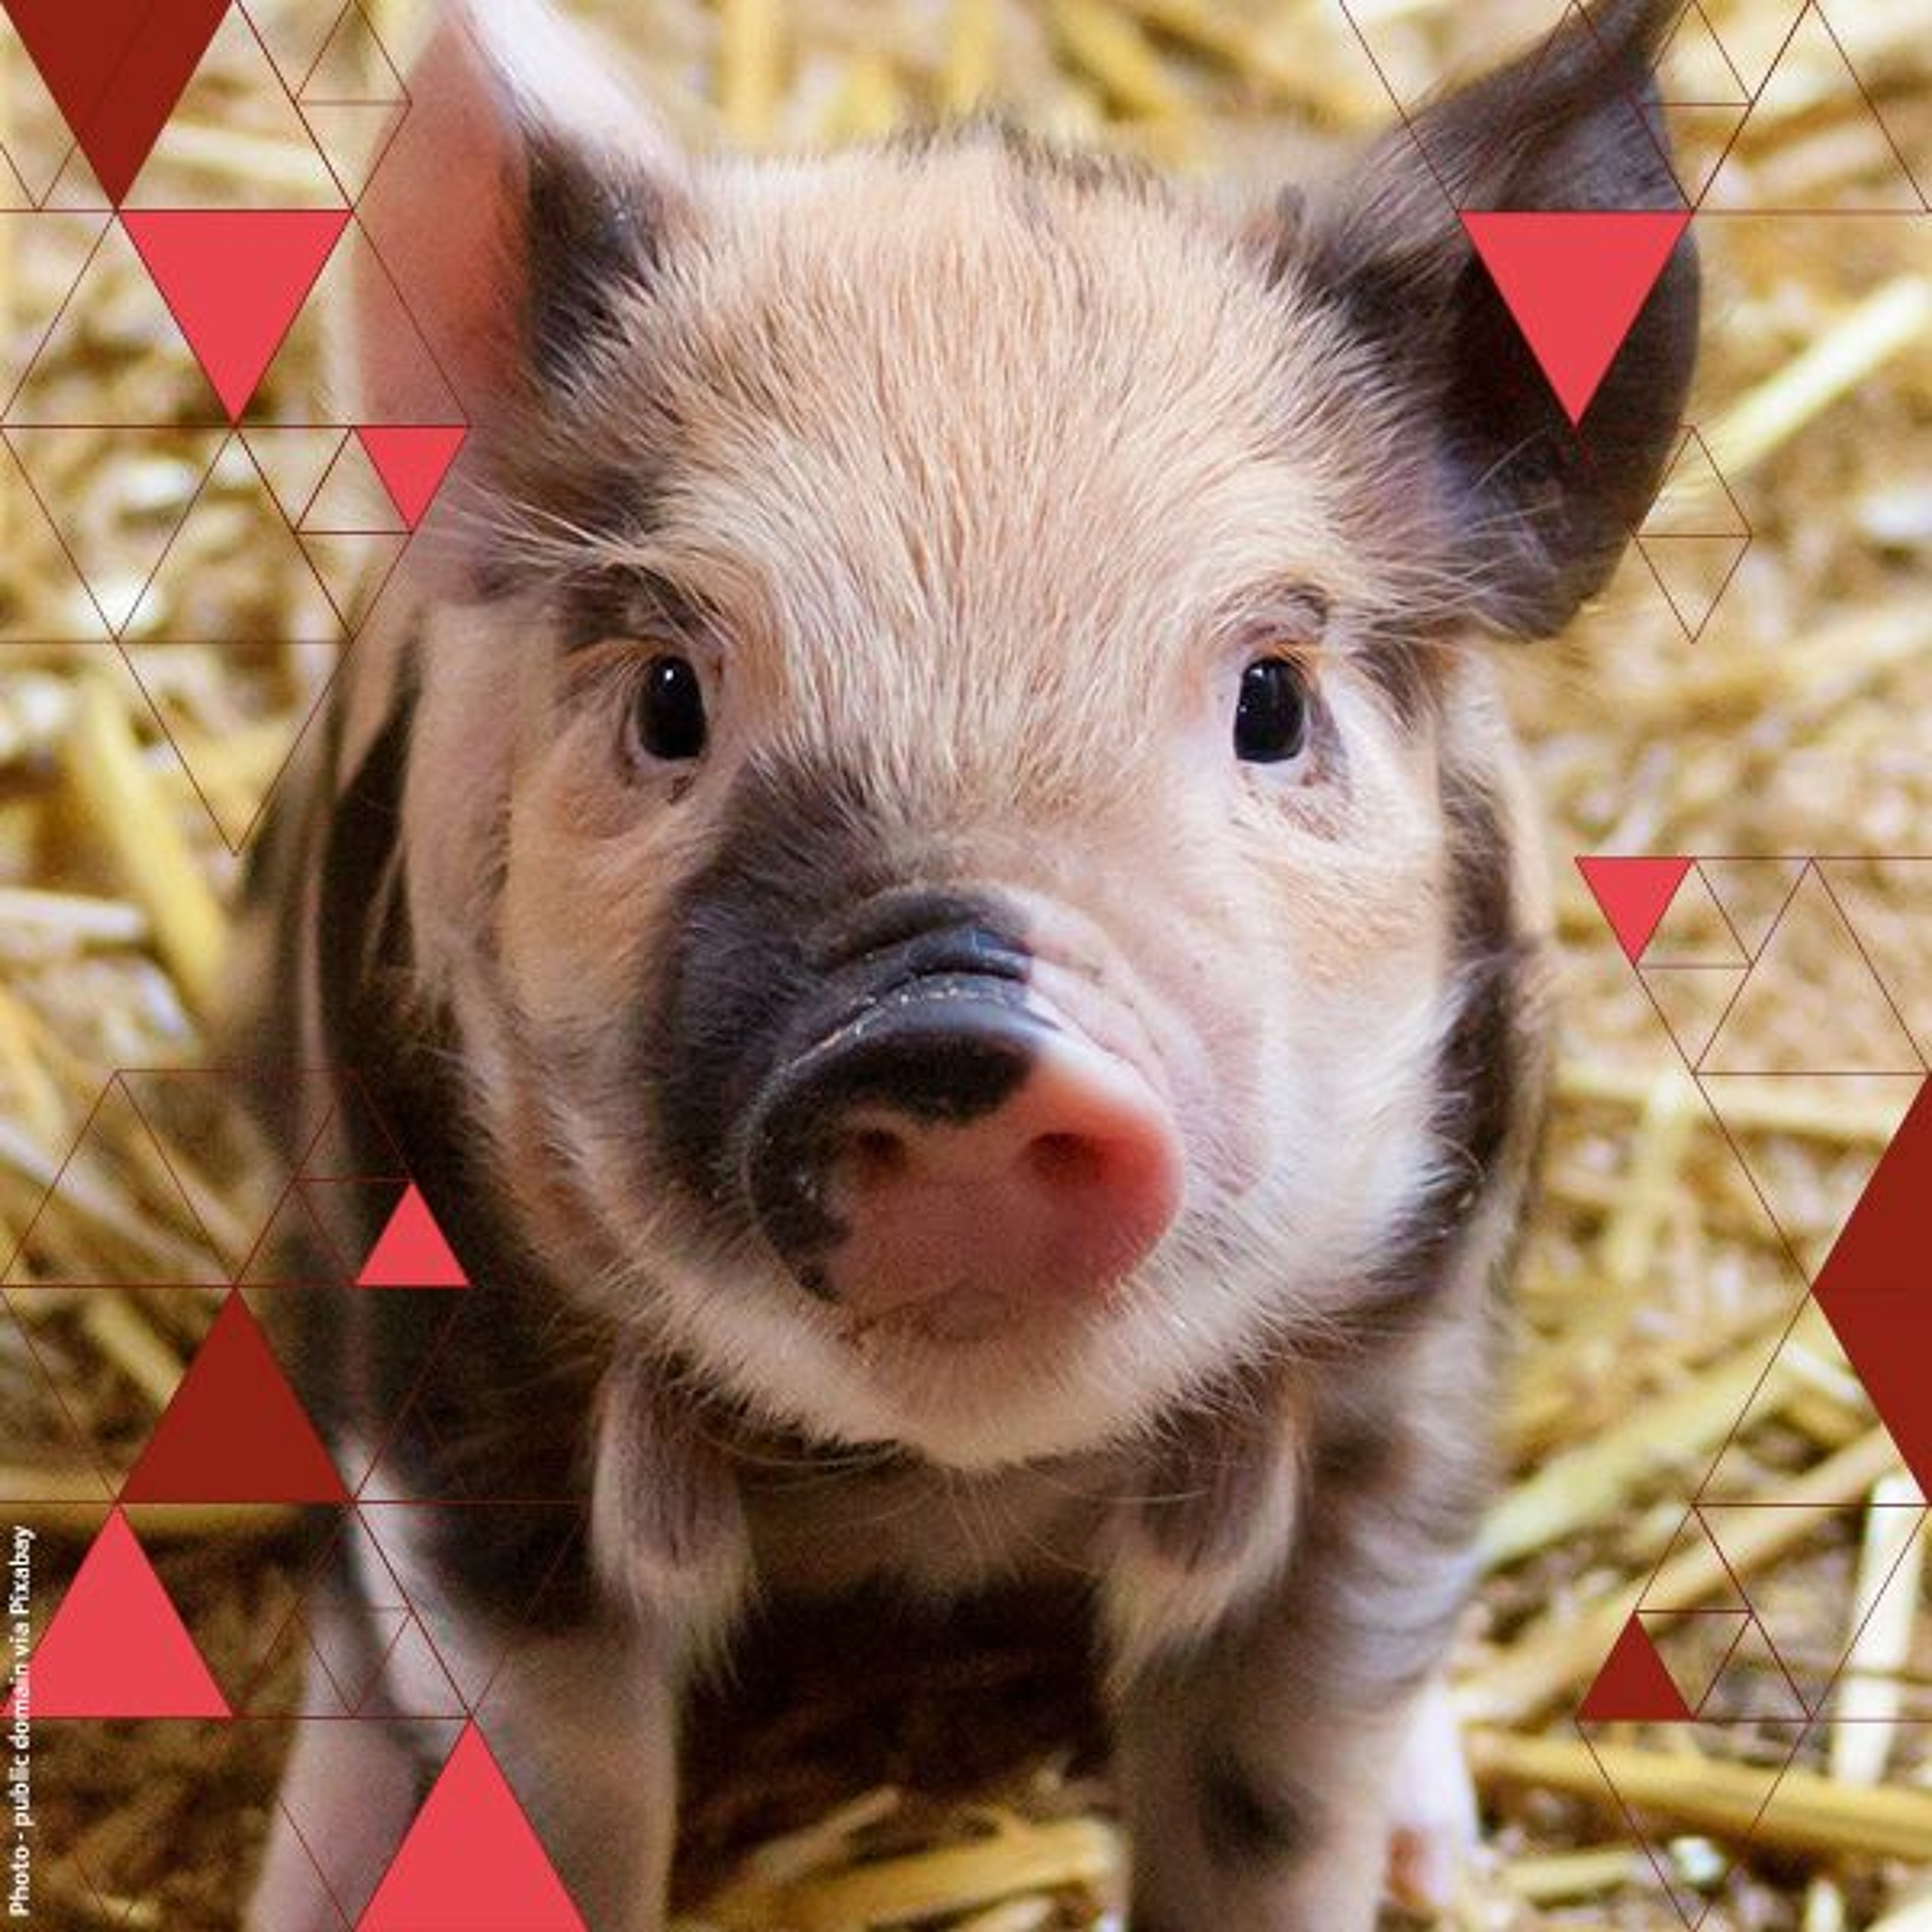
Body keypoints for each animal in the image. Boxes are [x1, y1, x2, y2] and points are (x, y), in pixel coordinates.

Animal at [229, 0, 1696, 1925]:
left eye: (1271, 702)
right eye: (670, 700)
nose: (950, 1033)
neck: (944, 1487)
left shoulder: (1407, 1377)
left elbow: (1275, 1791)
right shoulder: (455, 1358)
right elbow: (554, 1788)